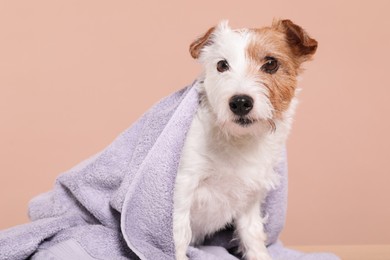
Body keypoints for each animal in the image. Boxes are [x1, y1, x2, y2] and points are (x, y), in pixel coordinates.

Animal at [173, 19, 316, 258]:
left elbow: (253, 235)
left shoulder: (250, 198)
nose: (240, 102)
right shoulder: (183, 186)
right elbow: (178, 236)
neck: (238, 140)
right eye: (222, 65)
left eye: (270, 63)